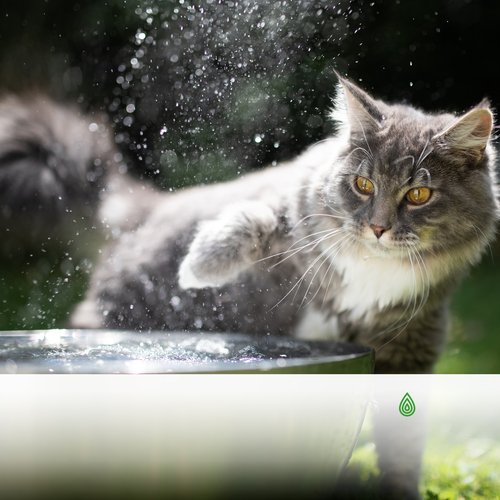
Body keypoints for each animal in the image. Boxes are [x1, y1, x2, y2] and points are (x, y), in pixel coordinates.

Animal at [0, 77, 498, 496]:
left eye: (418, 195)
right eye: (363, 184)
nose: (377, 228)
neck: (372, 268)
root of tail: (146, 211)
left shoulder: (410, 349)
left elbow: (402, 448)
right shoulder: (290, 211)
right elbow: (252, 218)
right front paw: (199, 266)